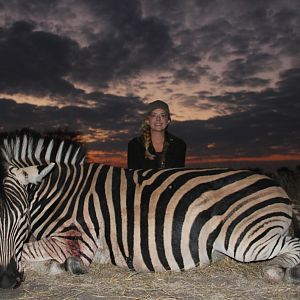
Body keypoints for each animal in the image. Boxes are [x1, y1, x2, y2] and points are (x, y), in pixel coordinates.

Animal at [0, 129, 298, 288]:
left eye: (21, 217)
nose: (6, 279)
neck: (60, 192)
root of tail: (276, 186)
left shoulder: (76, 240)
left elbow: (29, 251)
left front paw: (58, 266)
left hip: (245, 241)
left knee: (291, 246)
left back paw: (286, 272)